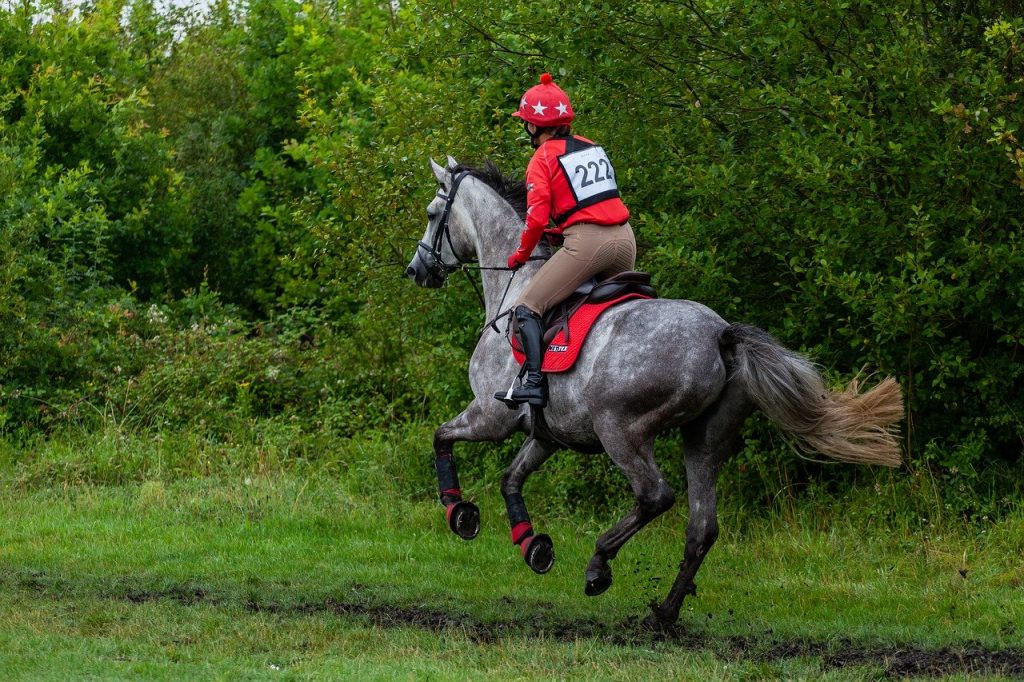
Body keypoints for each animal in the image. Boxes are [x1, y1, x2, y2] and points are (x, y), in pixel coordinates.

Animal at [403, 156, 901, 622]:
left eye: (431, 213)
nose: (416, 269)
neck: (516, 286)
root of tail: (721, 335)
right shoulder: (548, 434)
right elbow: (511, 478)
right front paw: (533, 546)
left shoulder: (493, 417)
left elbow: (441, 437)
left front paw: (459, 514)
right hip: (704, 438)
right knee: (702, 526)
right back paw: (664, 613)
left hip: (620, 429)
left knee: (655, 496)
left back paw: (599, 565)